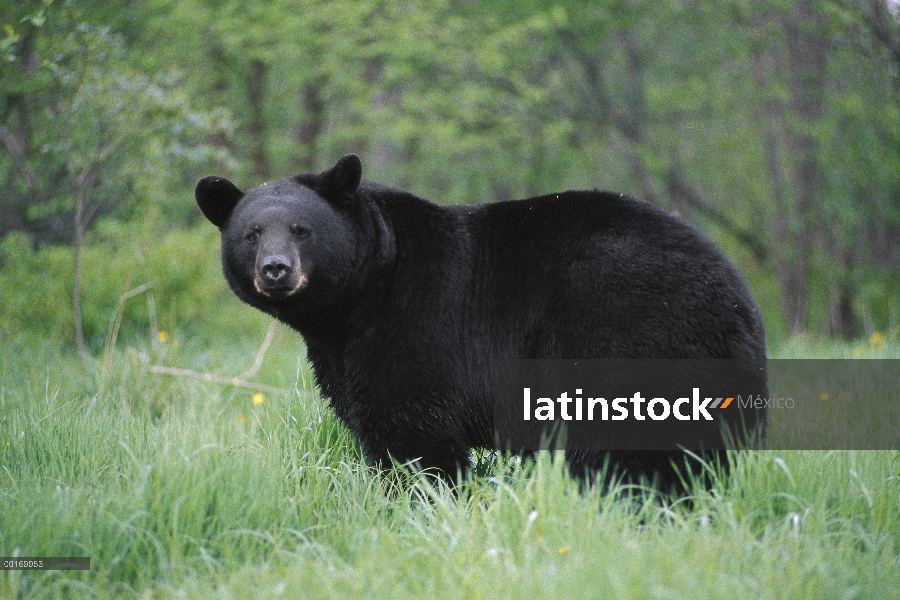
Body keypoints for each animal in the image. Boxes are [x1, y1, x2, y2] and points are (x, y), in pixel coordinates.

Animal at [197, 152, 768, 490]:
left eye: (301, 229)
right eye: (251, 233)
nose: (275, 269)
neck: (355, 304)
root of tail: (737, 296)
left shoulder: (417, 324)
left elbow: (411, 431)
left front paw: (415, 498)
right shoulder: (340, 353)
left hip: (629, 333)